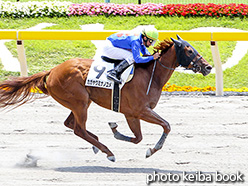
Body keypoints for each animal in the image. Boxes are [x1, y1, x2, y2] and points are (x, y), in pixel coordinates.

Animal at [0, 35, 212, 162]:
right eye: (189, 50)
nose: (208, 67)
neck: (151, 75)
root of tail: (51, 71)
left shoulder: (131, 114)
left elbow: (138, 138)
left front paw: (116, 130)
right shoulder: (139, 111)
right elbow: (166, 126)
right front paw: (151, 150)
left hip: (80, 102)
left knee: (71, 124)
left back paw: (97, 145)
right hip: (80, 103)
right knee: (78, 129)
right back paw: (107, 152)